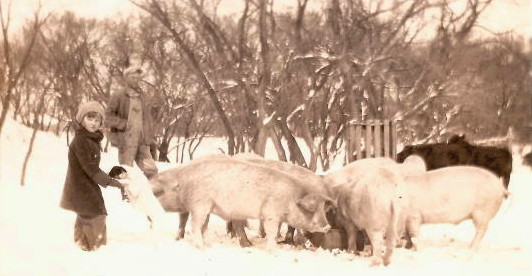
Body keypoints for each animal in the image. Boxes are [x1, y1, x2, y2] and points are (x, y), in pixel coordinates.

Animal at [152, 157, 332, 250]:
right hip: (199, 205)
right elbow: (272, 232)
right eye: (311, 209)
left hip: (206, 207)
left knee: (202, 227)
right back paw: (203, 247)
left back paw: (210, 245)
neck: (291, 197)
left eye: (323, 209)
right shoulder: (270, 214)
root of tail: (184, 174)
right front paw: (273, 250)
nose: (328, 227)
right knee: (194, 226)